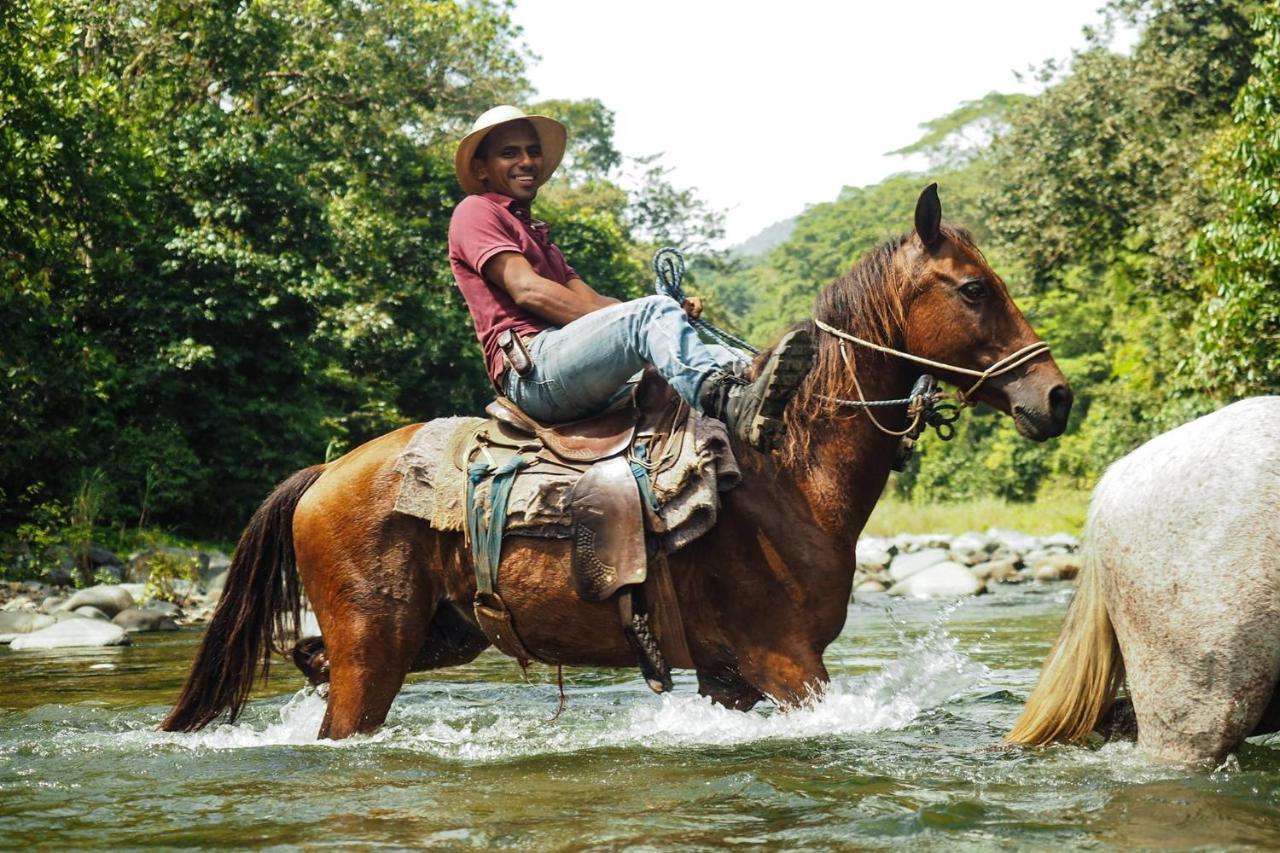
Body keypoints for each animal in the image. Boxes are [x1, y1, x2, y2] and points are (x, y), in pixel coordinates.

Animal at [165, 184, 1075, 737]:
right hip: (375, 649)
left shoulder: (732, 677)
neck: (787, 471)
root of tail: (324, 477)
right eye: (974, 289)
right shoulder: (787, 661)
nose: (1056, 395)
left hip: (435, 636)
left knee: (314, 665)